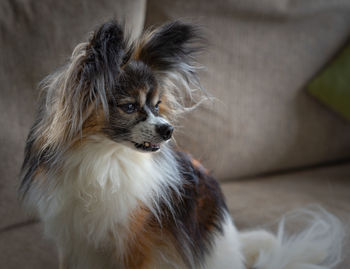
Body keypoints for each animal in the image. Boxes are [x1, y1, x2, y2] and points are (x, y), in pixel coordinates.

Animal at [19, 19, 344, 266]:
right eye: (129, 107)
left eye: (157, 105)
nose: (168, 129)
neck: (104, 157)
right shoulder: (73, 242)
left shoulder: (135, 244)